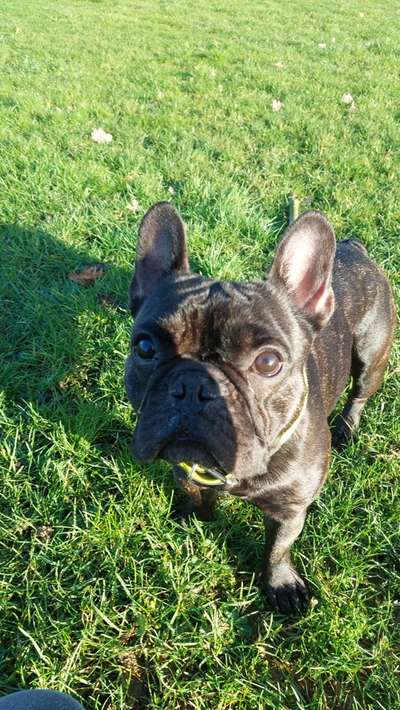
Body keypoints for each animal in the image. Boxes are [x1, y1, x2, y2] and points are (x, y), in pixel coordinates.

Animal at [126, 203, 396, 616]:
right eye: (144, 347)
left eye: (269, 363)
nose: (194, 385)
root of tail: (355, 249)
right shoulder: (184, 467)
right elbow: (193, 492)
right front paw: (196, 517)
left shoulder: (290, 511)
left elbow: (277, 550)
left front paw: (281, 585)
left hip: (370, 358)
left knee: (360, 394)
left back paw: (347, 429)